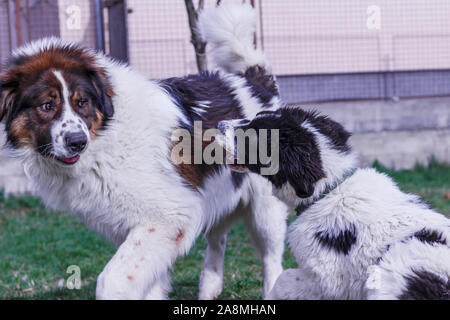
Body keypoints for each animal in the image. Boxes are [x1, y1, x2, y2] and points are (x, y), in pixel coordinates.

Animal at [0, 2, 288, 298]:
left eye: (82, 102)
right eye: (47, 106)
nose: (77, 141)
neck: (106, 138)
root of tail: (253, 80)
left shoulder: (166, 218)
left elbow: (112, 278)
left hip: (265, 209)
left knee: (271, 256)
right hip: (216, 191)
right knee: (217, 238)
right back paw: (209, 286)